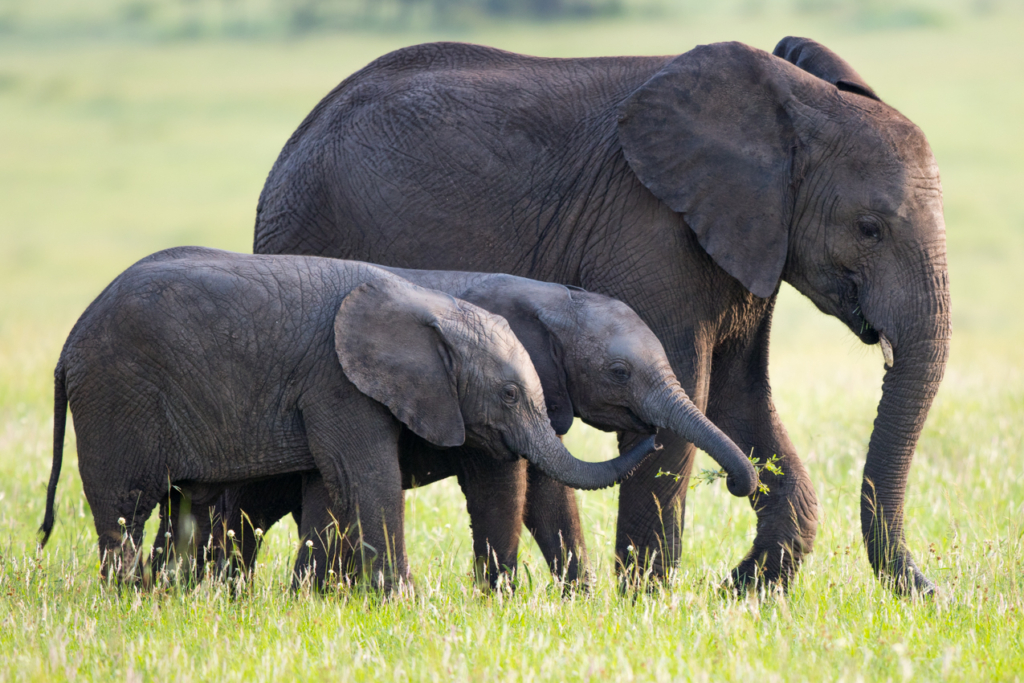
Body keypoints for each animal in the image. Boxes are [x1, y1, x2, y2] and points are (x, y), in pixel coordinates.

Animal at [39, 245, 655, 589]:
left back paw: (176, 595)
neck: (429, 304)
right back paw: (134, 596)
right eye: (507, 393)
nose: (649, 434)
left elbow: (331, 489)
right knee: (125, 508)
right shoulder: (339, 382)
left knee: (186, 507)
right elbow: (372, 478)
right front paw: (406, 603)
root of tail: (68, 343)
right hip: (117, 395)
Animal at [186, 266, 761, 589]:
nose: (738, 483)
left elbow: (547, 487)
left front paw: (580, 600)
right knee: (244, 508)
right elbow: (507, 483)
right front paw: (501, 601)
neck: (550, 298)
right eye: (619, 372)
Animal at [253, 37, 950, 593]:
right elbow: (689, 395)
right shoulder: (651, 232)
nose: (932, 592)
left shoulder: (750, 242)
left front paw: (743, 593)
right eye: (869, 228)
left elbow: (739, 398)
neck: (794, 106)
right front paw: (651, 605)